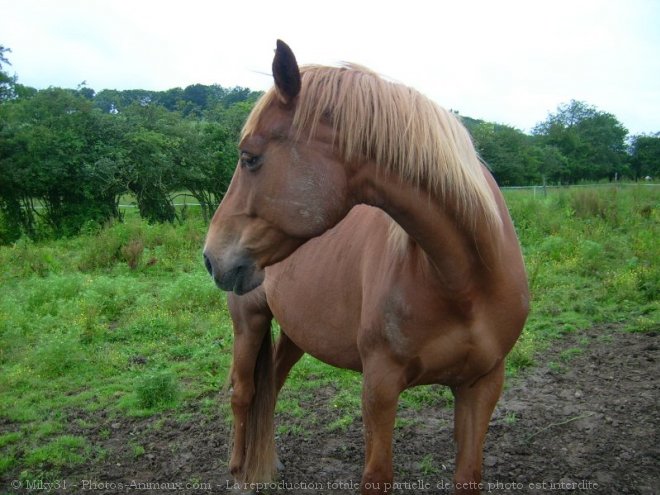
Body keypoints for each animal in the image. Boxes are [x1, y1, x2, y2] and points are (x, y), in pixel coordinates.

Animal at [204, 40, 528, 494]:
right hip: (248, 322)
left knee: (272, 386)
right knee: (244, 393)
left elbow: (468, 475)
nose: (211, 256)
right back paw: (240, 472)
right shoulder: (380, 386)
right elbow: (377, 477)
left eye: (249, 158)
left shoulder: (482, 385)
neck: (463, 281)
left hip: (296, 333)